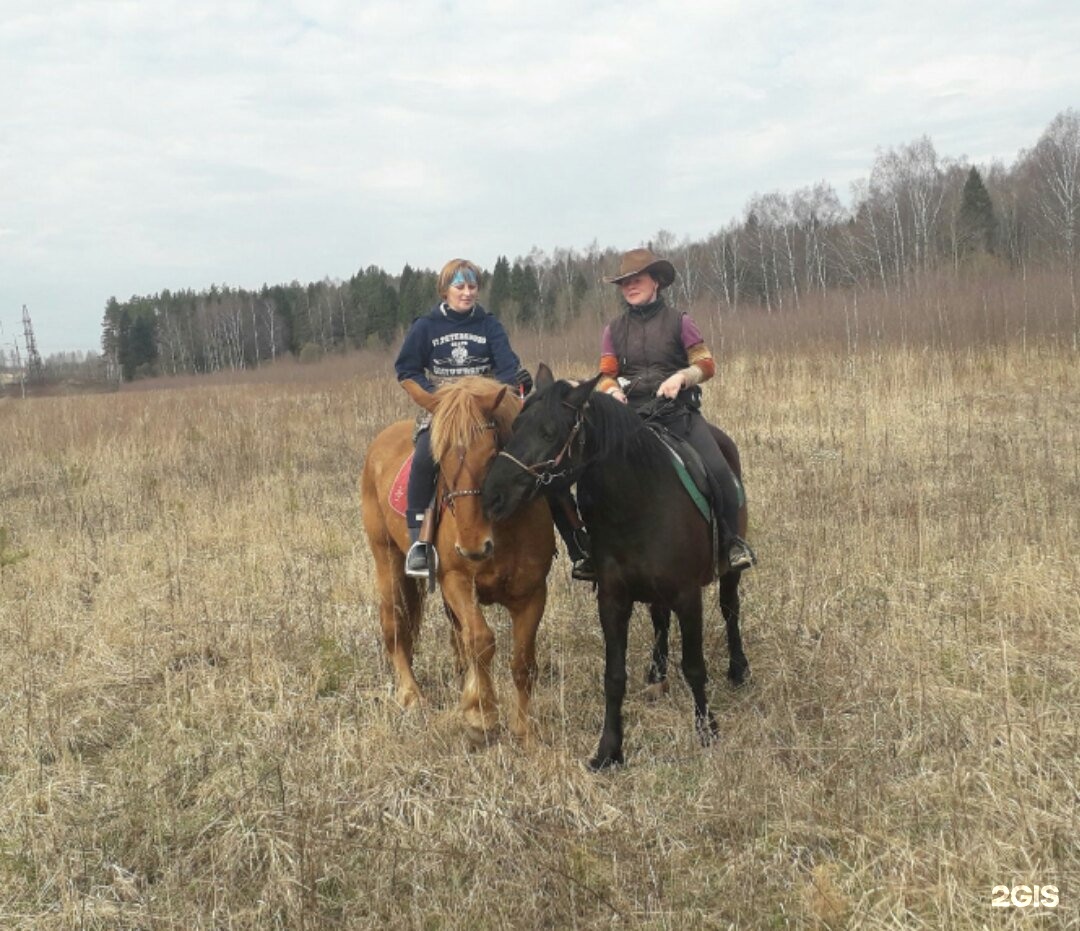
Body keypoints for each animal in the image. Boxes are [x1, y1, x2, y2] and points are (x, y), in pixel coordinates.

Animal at [360, 375, 552, 747]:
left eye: (491, 454)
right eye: (440, 459)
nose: (474, 547)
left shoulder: (532, 593)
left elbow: (522, 661)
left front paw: (523, 729)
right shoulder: (456, 581)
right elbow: (480, 640)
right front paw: (482, 717)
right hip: (387, 560)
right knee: (395, 624)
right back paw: (411, 695)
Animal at [483, 367, 751, 773]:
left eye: (549, 432)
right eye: (515, 426)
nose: (491, 495)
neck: (638, 501)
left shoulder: (688, 596)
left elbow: (694, 666)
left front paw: (707, 729)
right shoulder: (612, 599)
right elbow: (614, 676)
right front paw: (609, 749)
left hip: (728, 573)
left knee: (730, 609)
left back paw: (738, 668)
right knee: (659, 618)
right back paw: (657, 672)